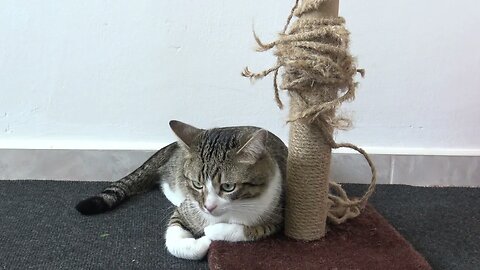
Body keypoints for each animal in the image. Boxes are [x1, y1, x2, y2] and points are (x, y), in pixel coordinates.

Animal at [74, 120, 284, 260]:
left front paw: (211, 232)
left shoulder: (276, 216)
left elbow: (247, 230)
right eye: (197, 184)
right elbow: (174, 235)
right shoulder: (187, 208)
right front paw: (203, 242)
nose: (208, 207)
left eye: (228, 186)